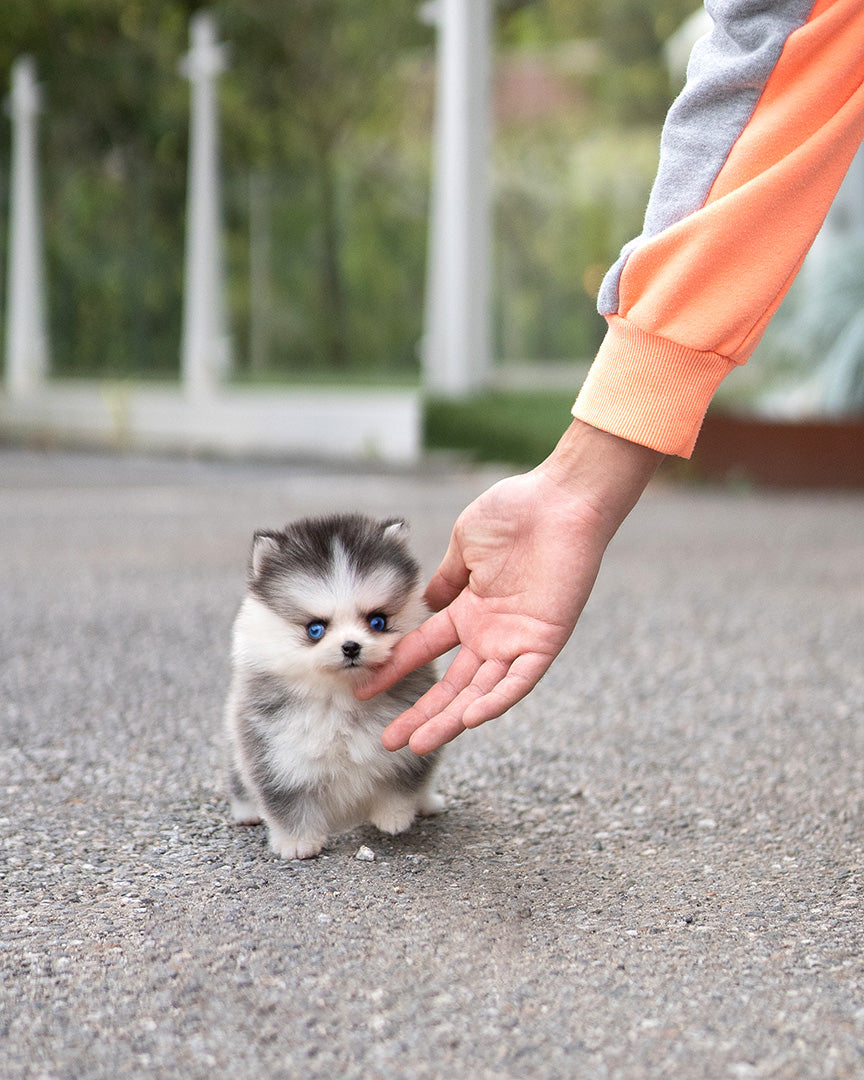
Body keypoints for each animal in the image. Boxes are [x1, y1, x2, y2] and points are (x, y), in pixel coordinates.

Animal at [225, 514, 442, 859]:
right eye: (315, 629)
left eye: (377, 622)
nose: (351, 646)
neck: (343, 698)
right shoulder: (276, 752)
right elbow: (287, 800)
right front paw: (298, 843)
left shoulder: (408, 748)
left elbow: (401, 783)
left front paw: (393, 817)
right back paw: (247, 812)